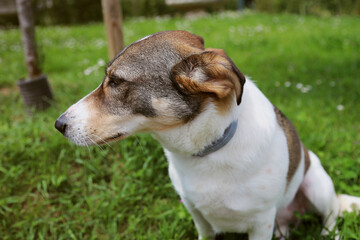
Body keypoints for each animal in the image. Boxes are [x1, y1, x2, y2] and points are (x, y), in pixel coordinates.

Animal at [54, 31, 360, 239]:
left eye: (117, 81)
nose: (58, 124)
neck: (206, 150)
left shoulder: (261, 222)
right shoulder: (197, 213)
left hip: (317, 184)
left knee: (331, 216)